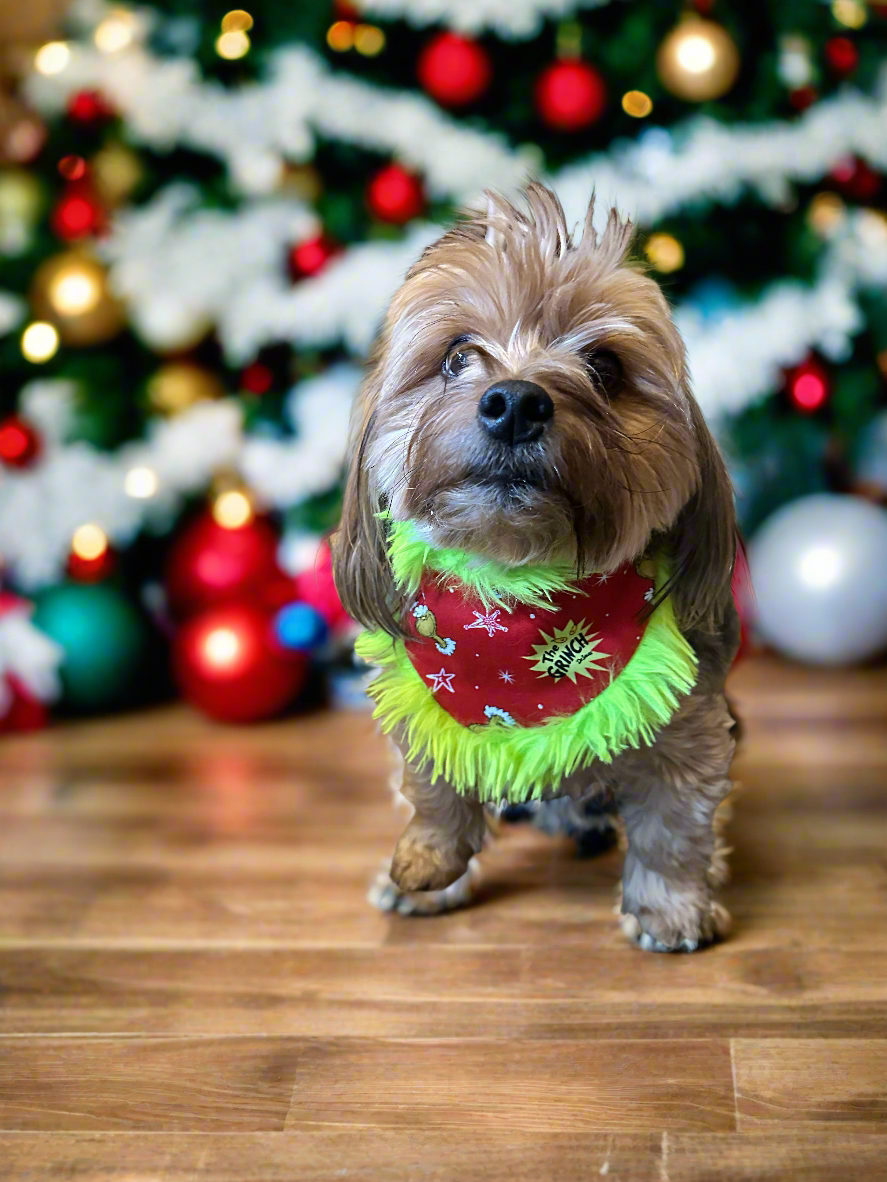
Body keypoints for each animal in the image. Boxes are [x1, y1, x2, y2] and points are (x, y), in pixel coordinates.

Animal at [333, 184, 742, 950]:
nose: (516, 401)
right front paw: (429, 868)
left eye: (605, 367)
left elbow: (673, 828)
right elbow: (434, 791)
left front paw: (669, 908)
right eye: (457, 356)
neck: (520, 592)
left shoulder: (692, 728)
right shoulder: (422, 703)